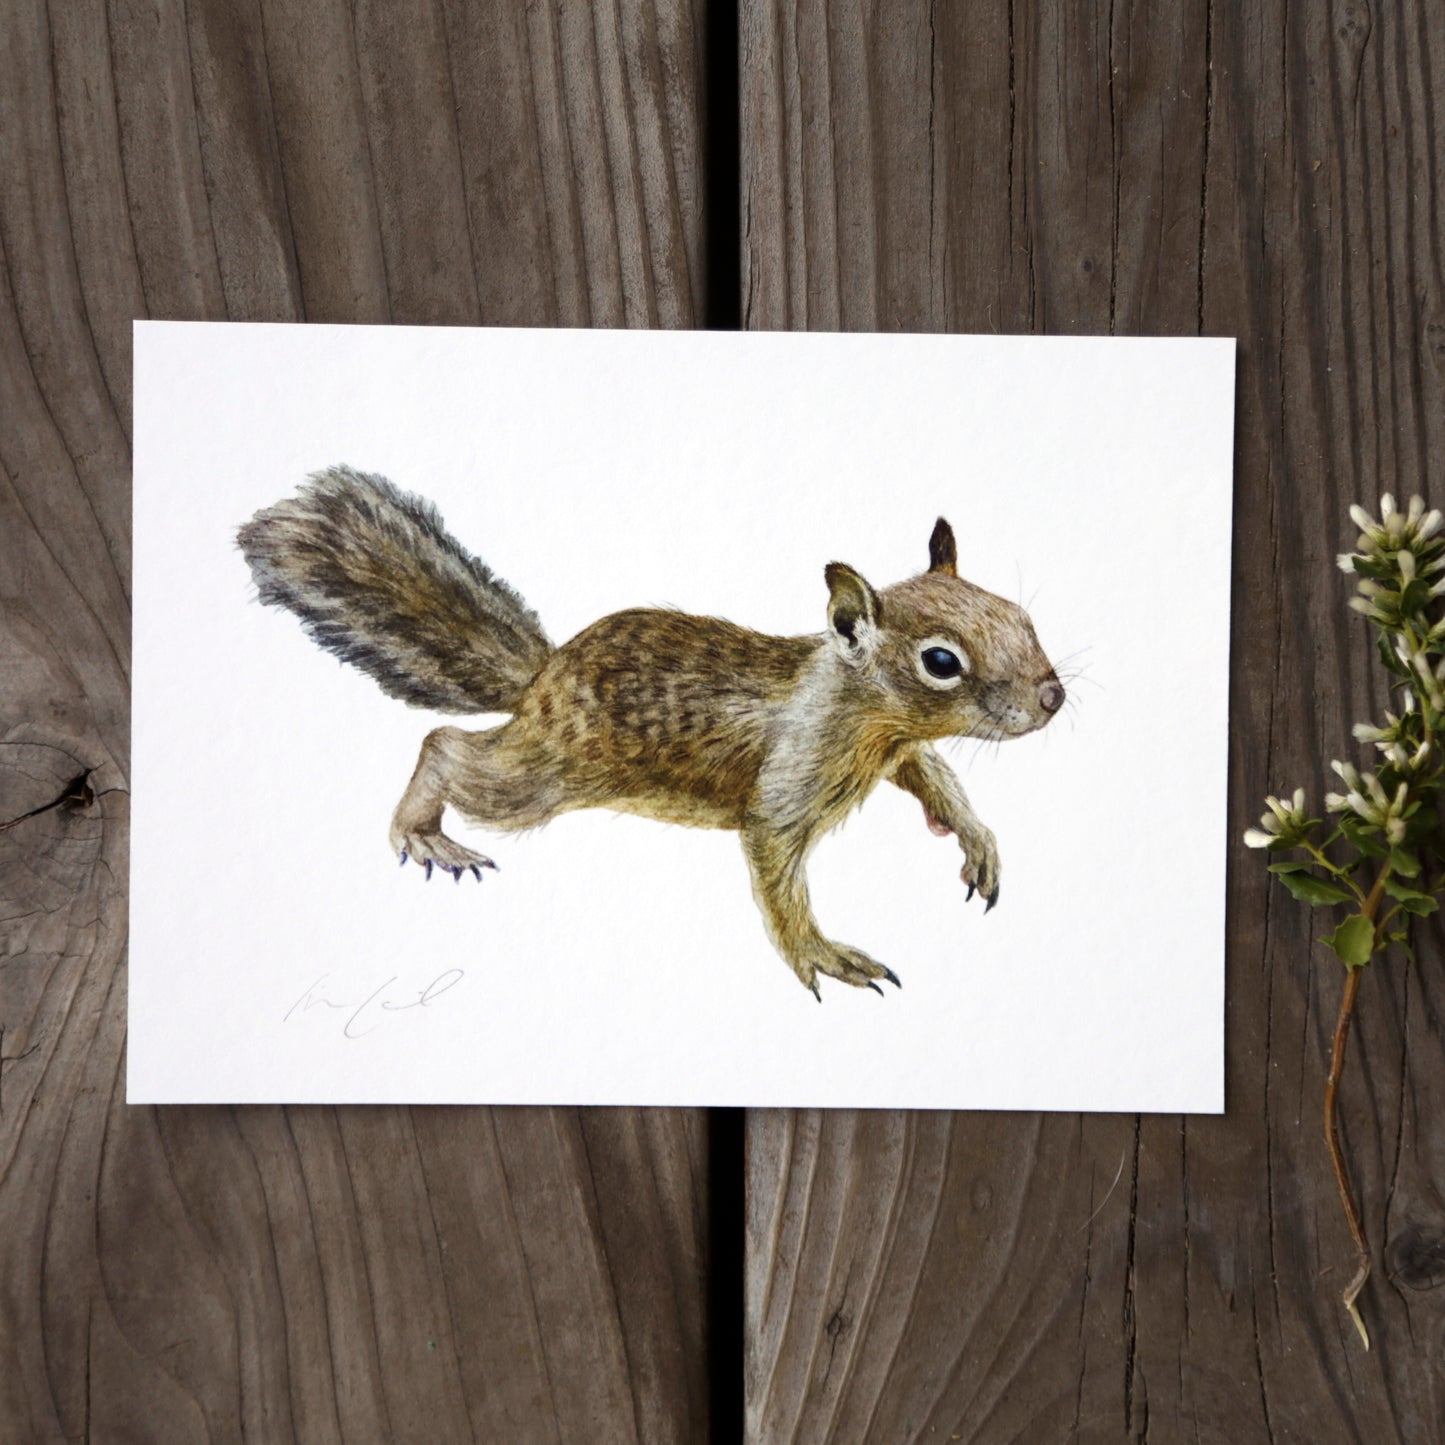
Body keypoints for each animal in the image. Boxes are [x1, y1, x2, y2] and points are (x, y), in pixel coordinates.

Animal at [238, 466, 1065, 998]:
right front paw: (820, 955)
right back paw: (424, 833)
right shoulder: (788, 780)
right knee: (444, 747)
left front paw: (974, 840)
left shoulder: (898, 748)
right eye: (940, 661)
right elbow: (777, 871)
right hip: (544, 775)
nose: (1053, 695)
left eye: (1021, 617)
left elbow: (934, 777)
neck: (858, 711)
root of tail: (541, 678)